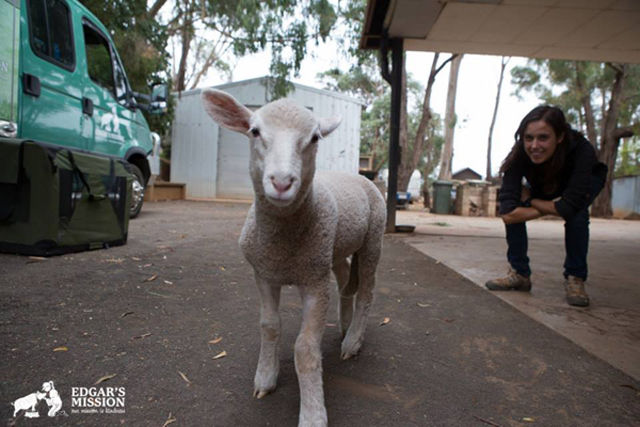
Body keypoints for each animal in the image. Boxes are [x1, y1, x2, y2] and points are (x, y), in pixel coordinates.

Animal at [202, 88, 388, 426]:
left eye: (314, 138)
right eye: (254, 131)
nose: (281, 182)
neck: (283, 245)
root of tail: (361, 176)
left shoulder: (314, 282)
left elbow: (305, 348)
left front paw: (313, 413)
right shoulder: (264, 273)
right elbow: (269, 326)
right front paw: (265, 378)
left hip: (371, 241)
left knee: (366, 291)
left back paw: (353, 341)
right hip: (333, 250)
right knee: (347, 283)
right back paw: (344, 325)